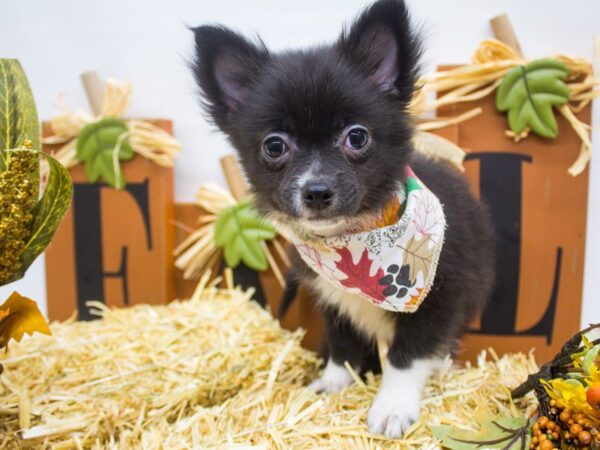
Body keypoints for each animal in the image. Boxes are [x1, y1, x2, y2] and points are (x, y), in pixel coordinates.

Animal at [191, 0, 492, 438]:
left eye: (357, 137)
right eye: (274, 146)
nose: (316, 191)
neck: (356, 236)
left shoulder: (439, 298)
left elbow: (407, 355)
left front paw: (393, 407)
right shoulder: (333, 297)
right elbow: (343, 346)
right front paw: (334, 384)